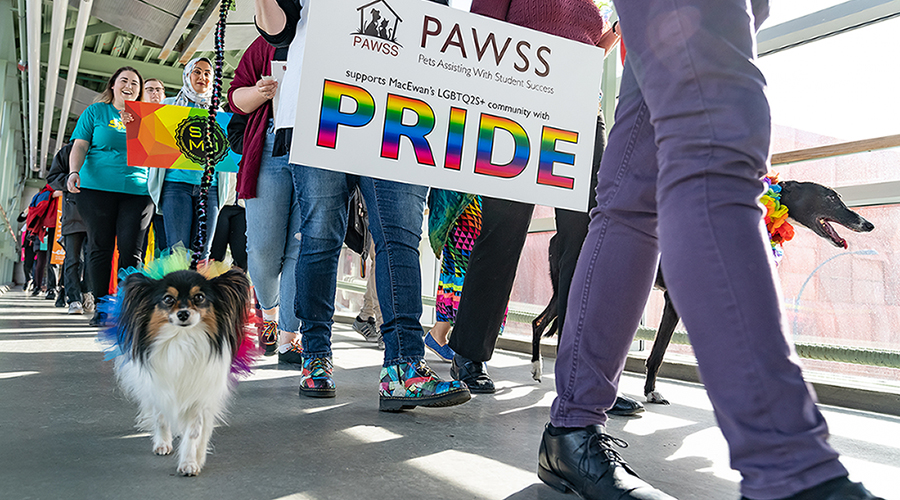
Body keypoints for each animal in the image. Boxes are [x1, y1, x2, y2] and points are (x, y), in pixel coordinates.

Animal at [114, 270, 253, 476]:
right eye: (168, 299)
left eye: (199, 297)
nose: (183, 313)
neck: (182, 340)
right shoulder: (159, 388)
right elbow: (161, 417)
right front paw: (163, 443)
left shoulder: (200, 397)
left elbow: (194, 432)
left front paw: (190, 461)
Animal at [532, 180, 876, 406]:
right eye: (831, 197)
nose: (867, 224)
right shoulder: (676, 301)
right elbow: (659, 352)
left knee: (539, 322)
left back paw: (538, 370)